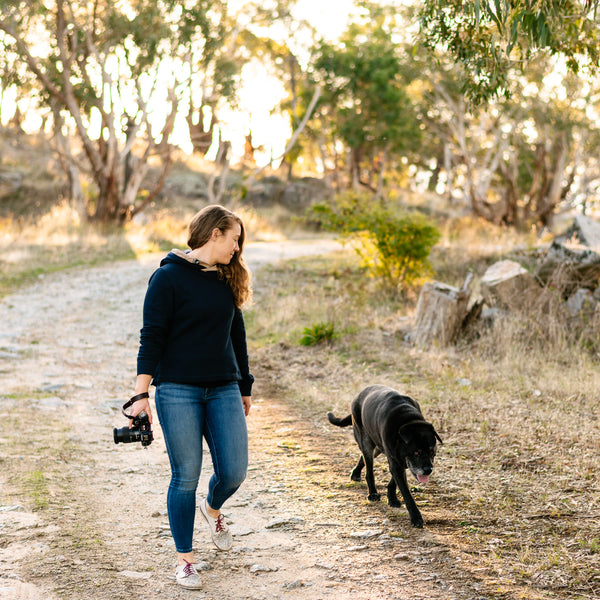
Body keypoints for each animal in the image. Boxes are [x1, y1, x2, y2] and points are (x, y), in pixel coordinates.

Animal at [328, 382, 440, 528]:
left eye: (432, 452)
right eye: (416, 452)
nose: (428, 470)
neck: (407, 421)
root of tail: (359, 394)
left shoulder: (398, 460)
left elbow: (394, 481)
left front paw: (392, 498)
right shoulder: (396, 461)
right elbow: (406, 493)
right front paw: (416, 518)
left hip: (376, 446)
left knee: (363, 458)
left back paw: (355, 473)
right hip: (365, 441)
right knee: (369, 469)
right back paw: (372, 493)